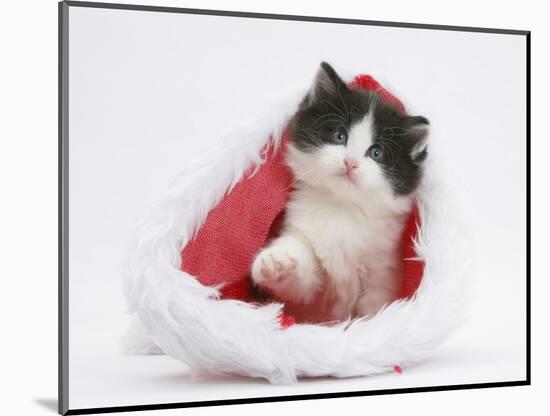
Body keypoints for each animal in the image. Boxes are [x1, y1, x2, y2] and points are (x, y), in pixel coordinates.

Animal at [252, 62, 430, 322]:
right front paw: (277, 260)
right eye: (339, 136)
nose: (350, 163)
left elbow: (373, 309)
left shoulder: (383, 271)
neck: (341, 207)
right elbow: (301, 285)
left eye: (376, 153)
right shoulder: (309, 302)